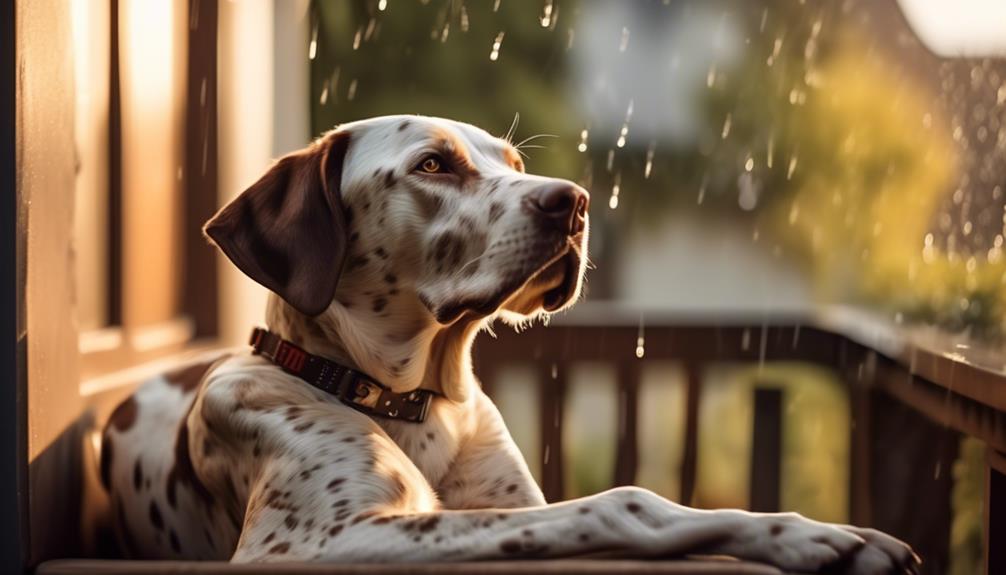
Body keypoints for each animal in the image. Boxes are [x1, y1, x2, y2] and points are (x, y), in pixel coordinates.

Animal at [100, 114, 921, 570]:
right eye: (434, 164)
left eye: (515, 164)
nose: (577, 202)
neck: (414, 404)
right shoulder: (316, 540)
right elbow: (624, 503)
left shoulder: (502, 500)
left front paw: (824, 533)